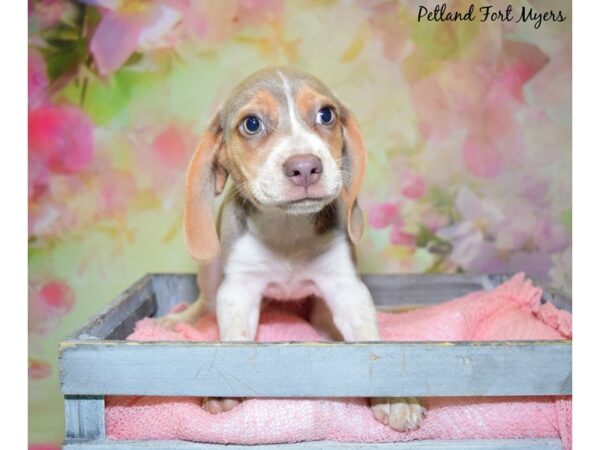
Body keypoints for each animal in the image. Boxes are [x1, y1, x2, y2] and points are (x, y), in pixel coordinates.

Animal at [157, 67, 424, 432]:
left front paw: (396, 398)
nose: (305, 167)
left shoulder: (347, 288)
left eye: (326, 115)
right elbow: (235, 338)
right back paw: (180, 318)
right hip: (210, 270)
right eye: (251, 123)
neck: (287, 229)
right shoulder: (238, 289)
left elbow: (368, 341)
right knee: (206, 302)